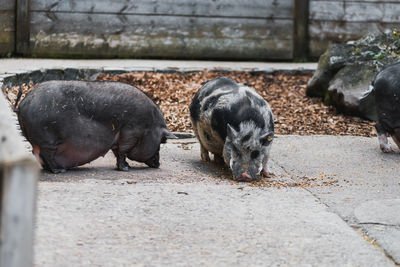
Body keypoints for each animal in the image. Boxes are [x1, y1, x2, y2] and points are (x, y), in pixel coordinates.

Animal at [15, 80, 175, 175]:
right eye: (161, 142)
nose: (158, 164)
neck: (149, 126)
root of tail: (22, 104)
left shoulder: (118, 139)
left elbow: (117, 153)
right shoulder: (130, 133)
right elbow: (123, 153)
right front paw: (126, 168)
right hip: (48, 139)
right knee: (47, 155)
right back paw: (60, 170)